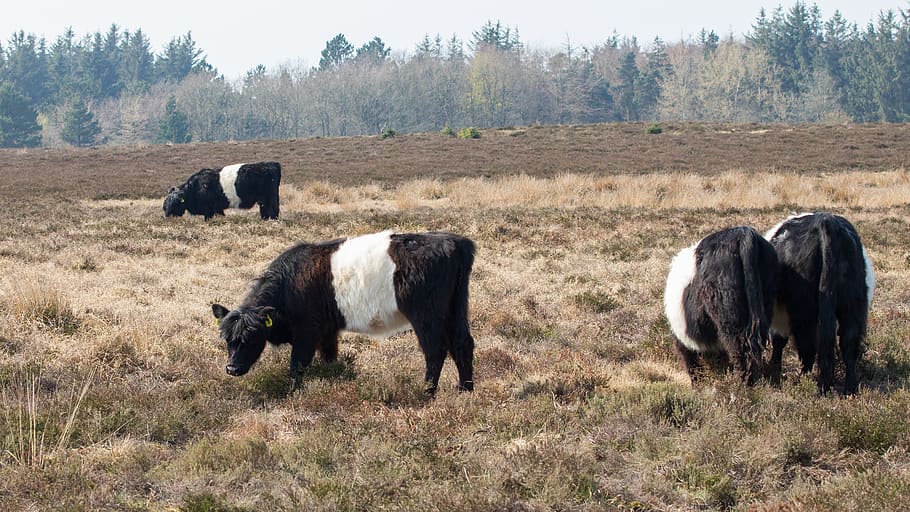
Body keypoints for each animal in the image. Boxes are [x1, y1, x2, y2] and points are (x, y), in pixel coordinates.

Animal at [211, 230, 477, 394]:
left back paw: (427, 392)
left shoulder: (307, 333)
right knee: (462, 344)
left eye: (251, 338)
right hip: (455, 309)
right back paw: (465, 390)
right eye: (226, 339)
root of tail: (454, 241)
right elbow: (329, 359)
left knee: (435, 350)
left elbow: (297, 365)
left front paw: (294, 392)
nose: (231, 369)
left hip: (426, 316)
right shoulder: (328, 333)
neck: (290, 283)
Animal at [664, 226, 778, 384]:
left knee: (741, 350)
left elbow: (691, 364)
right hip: (766, 300)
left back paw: (741, 384)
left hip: (729, 317)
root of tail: (743, 233)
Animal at [765, 212, 875, 394]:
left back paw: (809, 383)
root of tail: (827, 223)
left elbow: (779, 341)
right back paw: (849, 388)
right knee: (848, 344)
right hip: (852, 306)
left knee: (808, 346)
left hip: (804, 312)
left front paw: (773, 370)